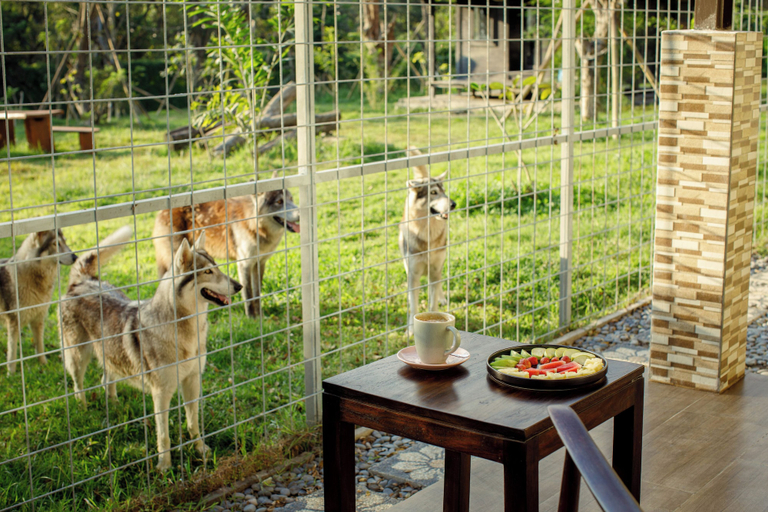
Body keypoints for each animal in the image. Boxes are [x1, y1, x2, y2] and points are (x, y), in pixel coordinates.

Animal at [0, 229, 77, 374]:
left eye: (65, 242)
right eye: (55, 244)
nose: (75, 257)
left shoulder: (38, 320)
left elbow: (40, 347)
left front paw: (44, 365)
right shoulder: (14, 323)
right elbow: (12, 353)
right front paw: (11, 374)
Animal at [59, 227, 242, 471]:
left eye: (218, 267)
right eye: (208, 271)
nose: (239, 286)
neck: (188, 331)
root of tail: (82, 281)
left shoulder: (192, 381)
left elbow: (193, 423)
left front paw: (201, 450)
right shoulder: (161, 394)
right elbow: (164, 437)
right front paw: (164, 467)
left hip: (111, 357)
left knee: (106, 381)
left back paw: (115, 407)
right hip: (78, 358)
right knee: (78, 386)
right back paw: (84, 409)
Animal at [153, 181, 299, 318]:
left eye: (291, 199)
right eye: (279, 201)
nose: (300, 214)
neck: (254, 225)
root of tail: (161, 212)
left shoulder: (259, 263)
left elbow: (257, 293)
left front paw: (260, 317)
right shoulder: (244, 264)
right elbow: (248, 295)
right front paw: (252, 318)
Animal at [399, 148, 457, 336]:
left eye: (444, 191)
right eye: (433, 192)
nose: (453, 204)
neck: (428, 235)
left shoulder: (435, 269)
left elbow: (433, 303)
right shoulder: (414, 274)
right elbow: (414, 307)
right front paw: (411, 330)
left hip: (438, 267)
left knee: (438, 284)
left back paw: (442, 297)